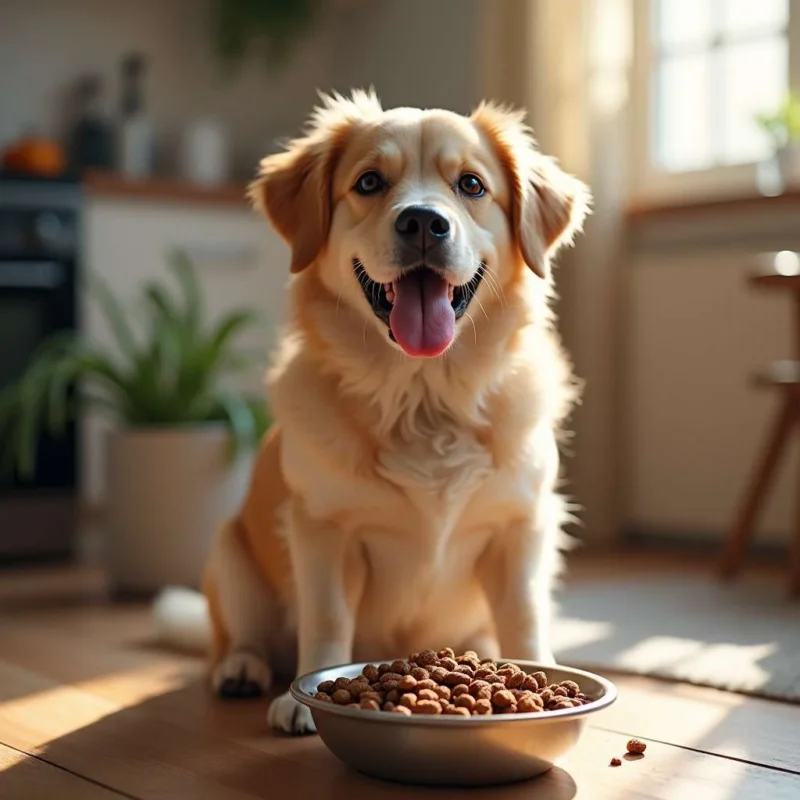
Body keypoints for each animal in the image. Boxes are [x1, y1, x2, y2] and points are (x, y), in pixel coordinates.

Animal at [153, 90, 592, 736]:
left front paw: (543, 678)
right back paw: (242, 669)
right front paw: (305, 698)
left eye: (471, 184)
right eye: (368, 182)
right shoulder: (323, 529)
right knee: (240, 639)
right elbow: (329, 617)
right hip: (229, 554)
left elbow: (524, 614)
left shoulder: (522, 526)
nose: (424, 222)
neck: (424, 395)